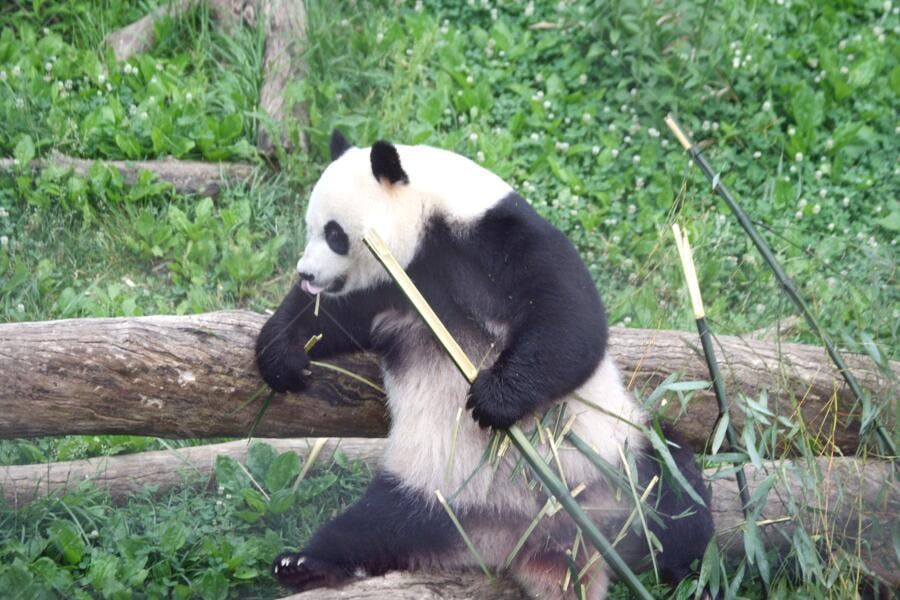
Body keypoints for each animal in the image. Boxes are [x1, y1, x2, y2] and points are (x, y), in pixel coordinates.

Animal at [255, 130, 714, 599]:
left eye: (334, 234)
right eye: (310, 228)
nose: (306, 273)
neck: (429, 222)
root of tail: (543, 541)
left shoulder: (494, 236)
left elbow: (569, 318)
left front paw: (494, 399)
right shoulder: (390, 287)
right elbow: (329, 316)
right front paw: (281, 356)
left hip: (620, 463)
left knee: (674, 488)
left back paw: (685, 567)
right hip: (434, 494)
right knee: (374, 526)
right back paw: (304, 564)